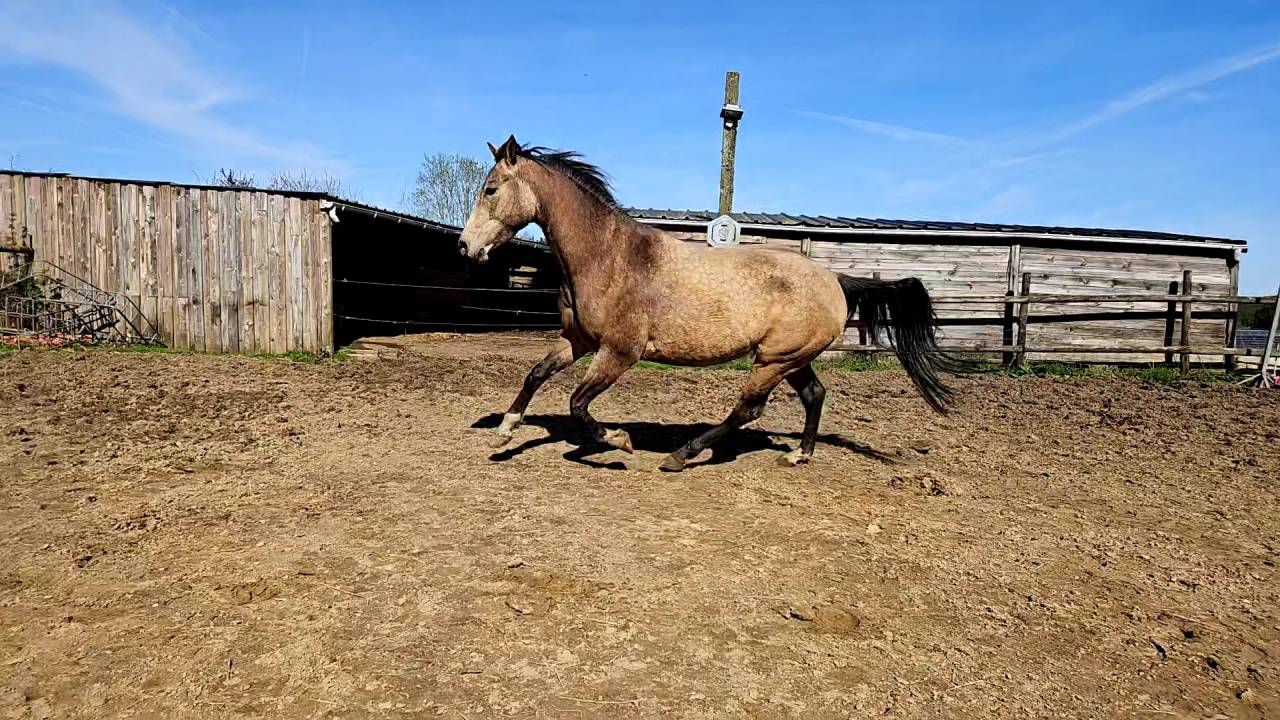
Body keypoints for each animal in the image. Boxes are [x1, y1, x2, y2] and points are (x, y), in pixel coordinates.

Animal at [459, 135, 960, 471]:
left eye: (490, 190)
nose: (465, 247)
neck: (609, 256)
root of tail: (835, 279)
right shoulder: (578, 341)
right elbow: (536, 373)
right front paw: (505, 431)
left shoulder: (619, 353)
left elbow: (578, 405)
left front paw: (619, 441)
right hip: (791, 359)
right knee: (814, 394)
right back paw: (799, 454)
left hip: (772, 360)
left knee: (749, 409)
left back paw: (682, 455)